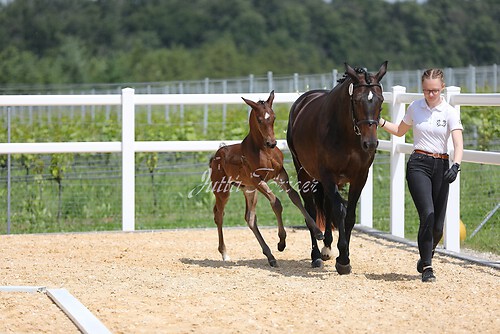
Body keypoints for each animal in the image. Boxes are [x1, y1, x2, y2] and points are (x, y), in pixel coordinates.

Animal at [209, 90, 322, 268]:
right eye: (259, 119)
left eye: (274, 117)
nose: (272, 143)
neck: (264, 151)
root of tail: (216, 156)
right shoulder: (258, 180)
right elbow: (276, 203)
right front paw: (281, 242)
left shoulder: (280, 175)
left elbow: (295, 197)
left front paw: (318, 232)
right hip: (223, 190)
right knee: (219, 215)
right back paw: (225, 253)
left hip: (249, 190)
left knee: (250, 218)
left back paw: (270, 256)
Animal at [288, 61, 388, 272]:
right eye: (356, 100)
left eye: (381, 100)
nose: (370, 143)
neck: (347, 135)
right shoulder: (328, 175)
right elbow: (340, 211)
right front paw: (342, 258)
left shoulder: (360, 177)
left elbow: (349, 215)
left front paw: (345, 257)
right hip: (304, 174)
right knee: (311, 210)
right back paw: (316, 256)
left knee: (326, 205)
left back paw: (326, 247)